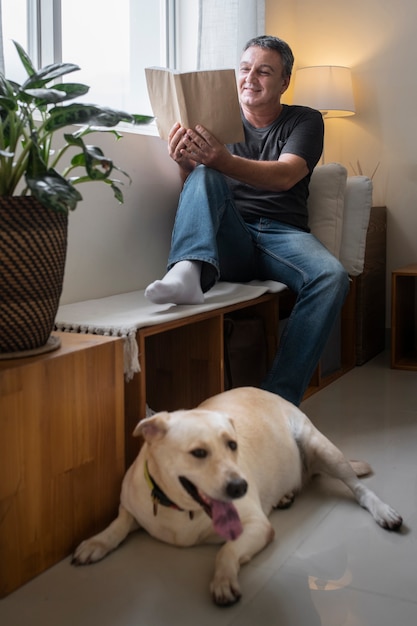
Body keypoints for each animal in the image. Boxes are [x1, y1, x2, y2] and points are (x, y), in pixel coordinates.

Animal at [73, 388, 402, 604]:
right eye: (199, 453)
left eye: (232, 445)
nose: (239, 486)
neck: (181, 508)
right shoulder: (131, 506)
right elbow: (117, 525)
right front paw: (95, 543)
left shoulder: (256, 526)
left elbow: (226, 551)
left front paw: (222, 580)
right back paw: (285, 496)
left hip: (321, 447)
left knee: (360, 489)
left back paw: (383, 511)